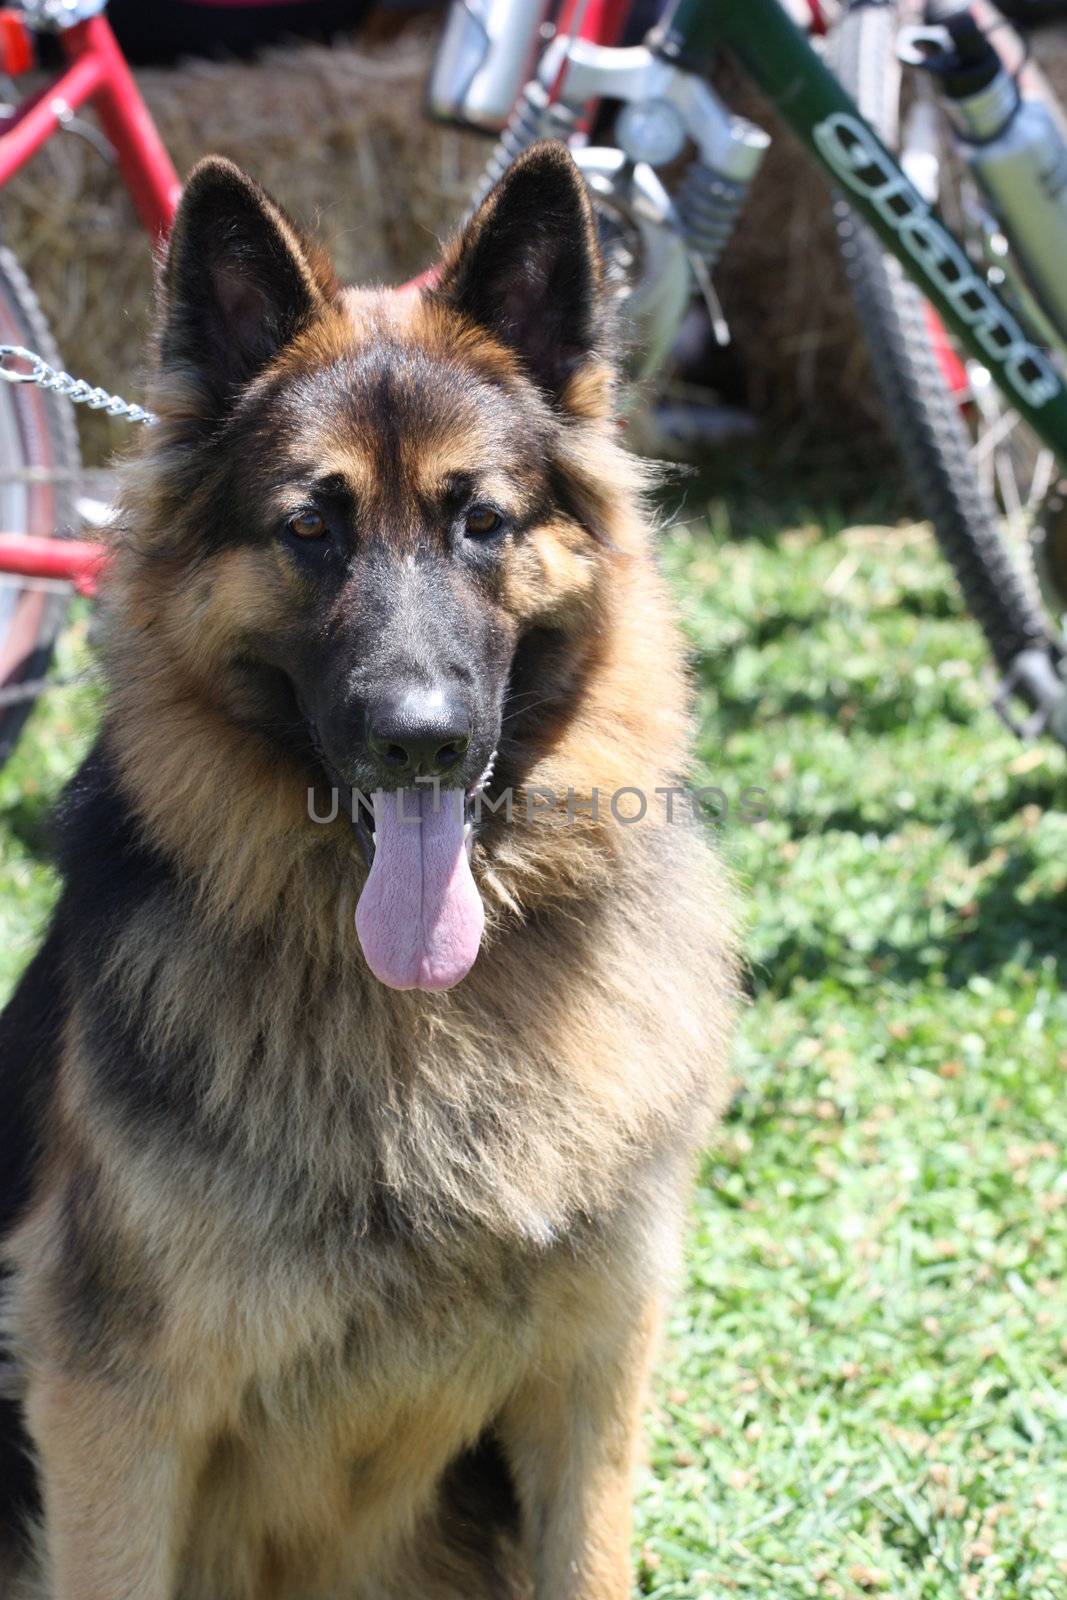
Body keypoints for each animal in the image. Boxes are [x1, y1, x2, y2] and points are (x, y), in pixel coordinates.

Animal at [0, 144, 735, 1593]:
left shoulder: (590, 1381)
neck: (418, 1017)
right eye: (310, 528)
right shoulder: (114, 1410)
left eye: (480, 522)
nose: (418, 738)